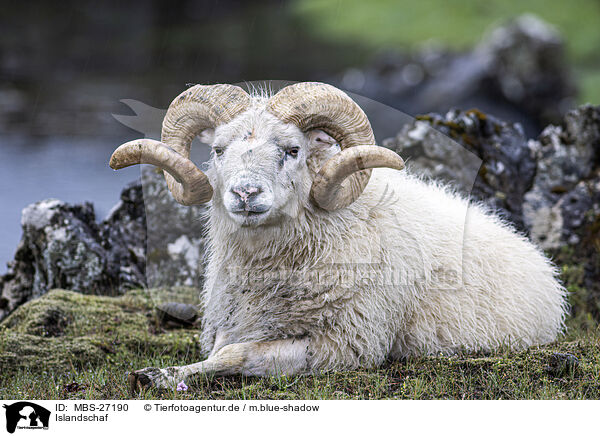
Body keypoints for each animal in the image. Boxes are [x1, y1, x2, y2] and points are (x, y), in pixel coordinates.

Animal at [109, 81, 568, 392]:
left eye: (292, 150)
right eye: (219, 150)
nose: (245, 194)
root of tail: (542, 263)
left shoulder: (345, 345)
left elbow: (236, 354)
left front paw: (160, 375)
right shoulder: (235, 319)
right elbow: (221, 347)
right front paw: (162, 373)